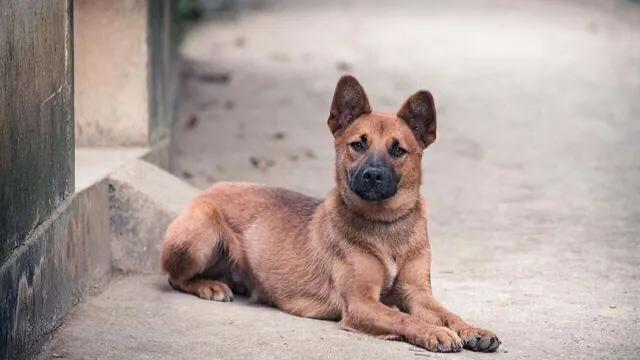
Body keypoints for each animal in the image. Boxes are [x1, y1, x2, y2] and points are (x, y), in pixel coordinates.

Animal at [160, 74, 500, 352]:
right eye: (358, 145)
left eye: (398, 150)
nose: (373, 175)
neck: (385, 226)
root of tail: (207, 190)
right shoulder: (361, 303)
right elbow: (403, 318)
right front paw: (434, 333)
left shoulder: (417, 293)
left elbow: (448, 313)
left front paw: (472, 329)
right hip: (200, 236)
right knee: (175, 278)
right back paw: (210, 286)